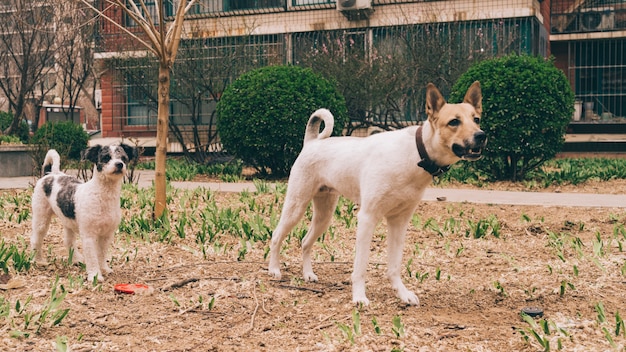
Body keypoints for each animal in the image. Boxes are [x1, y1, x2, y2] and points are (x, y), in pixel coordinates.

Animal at [30, 142, 136, 282]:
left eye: (124, 158)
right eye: (106, 157)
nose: (119, 164)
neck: (101, 196)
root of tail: (49, 174)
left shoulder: (107, 234)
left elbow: (101, 254)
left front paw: (103, 269)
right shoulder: (89, 235)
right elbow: (92, 257)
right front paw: (95, 275)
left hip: (68, 222)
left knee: (68, 241)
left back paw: (76, 259)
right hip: (41, 218)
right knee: (36, 238)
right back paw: (38, 260)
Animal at [266, 82, 486, 306]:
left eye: (476, 119)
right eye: (454, 122)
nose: (481, 135)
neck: (416, 153)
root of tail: (312, 143)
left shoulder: (399, 222)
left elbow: (394, 266)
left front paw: (402, 293)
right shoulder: (367, 218)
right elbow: (361, 266)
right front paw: (359, 297)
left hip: (324, 216)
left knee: (305, 242)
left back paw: (308, 274)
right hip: (296, 207)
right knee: (276, 235)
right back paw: (274, 269)